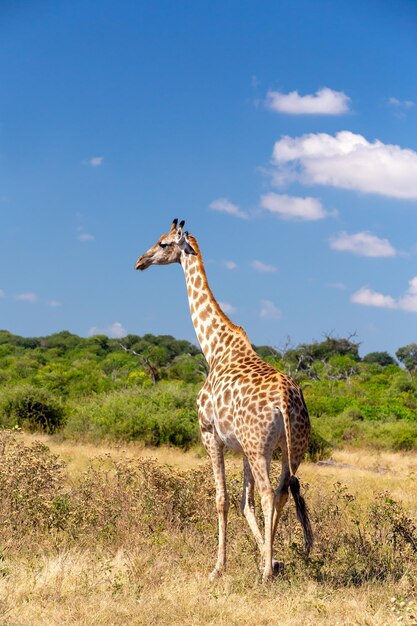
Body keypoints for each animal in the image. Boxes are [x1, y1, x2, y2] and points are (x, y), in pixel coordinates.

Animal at [136, 218, 312, 580]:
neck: (213, 347)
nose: (140, 261)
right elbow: (244, 503)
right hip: (292, 449)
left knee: (269, 494)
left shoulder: (209, 433)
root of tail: (286, 401)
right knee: (282, 493)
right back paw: (269, 564)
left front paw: (219, 567)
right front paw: (269, 557)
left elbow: (222, 499)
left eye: (162, 243)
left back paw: (265, 575)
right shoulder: (241, 446)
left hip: (260, 447)